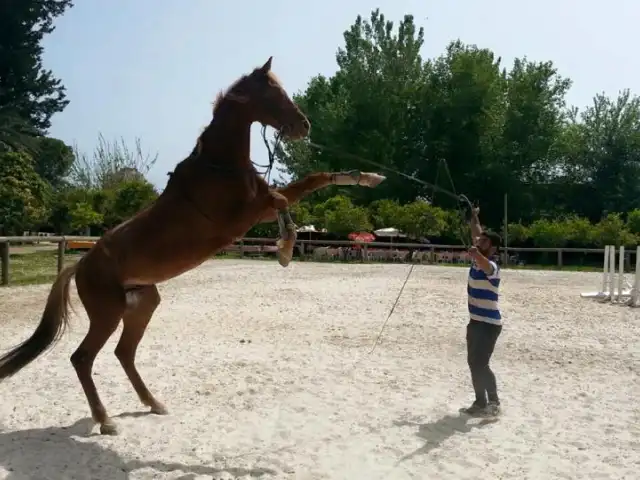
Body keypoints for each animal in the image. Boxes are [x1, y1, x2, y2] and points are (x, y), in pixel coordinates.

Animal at [0, 57, 384, 436]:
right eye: (272, 93)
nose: (303, 126)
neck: (220, 166)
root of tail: (79, 265)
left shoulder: (256, 209)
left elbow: (311, 181)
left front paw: (367, 178)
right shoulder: (238, 220)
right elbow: (281, 199)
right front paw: (286, 248)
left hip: (141, 306)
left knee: (124, 353)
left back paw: (153, 403)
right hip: (107, 314)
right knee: (82, 358)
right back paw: (105, 420)